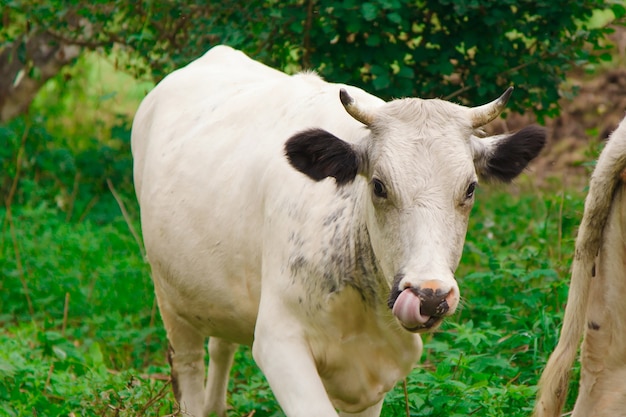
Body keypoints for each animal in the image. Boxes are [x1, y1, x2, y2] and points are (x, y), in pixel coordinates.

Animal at [133, 45, 544, 416]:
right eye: (378, 185)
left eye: (470, 188)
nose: (430, 295)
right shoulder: (279, 341)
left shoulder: (379, 371)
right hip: (171, 296)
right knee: (187, 364)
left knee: (221, 348)